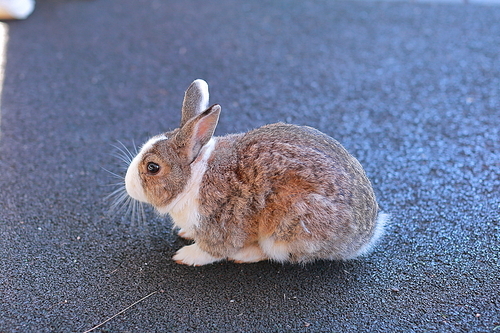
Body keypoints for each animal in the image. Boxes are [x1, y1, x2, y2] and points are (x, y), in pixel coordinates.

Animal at [124, 79, 386, 266]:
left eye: (153, 167)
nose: (128, 185)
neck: (193, 177)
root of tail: (366, 236)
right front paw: (185, 233)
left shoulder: (219, 224)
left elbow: (211, 250)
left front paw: (185, 256)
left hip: (288, 227)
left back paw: (245, 255)